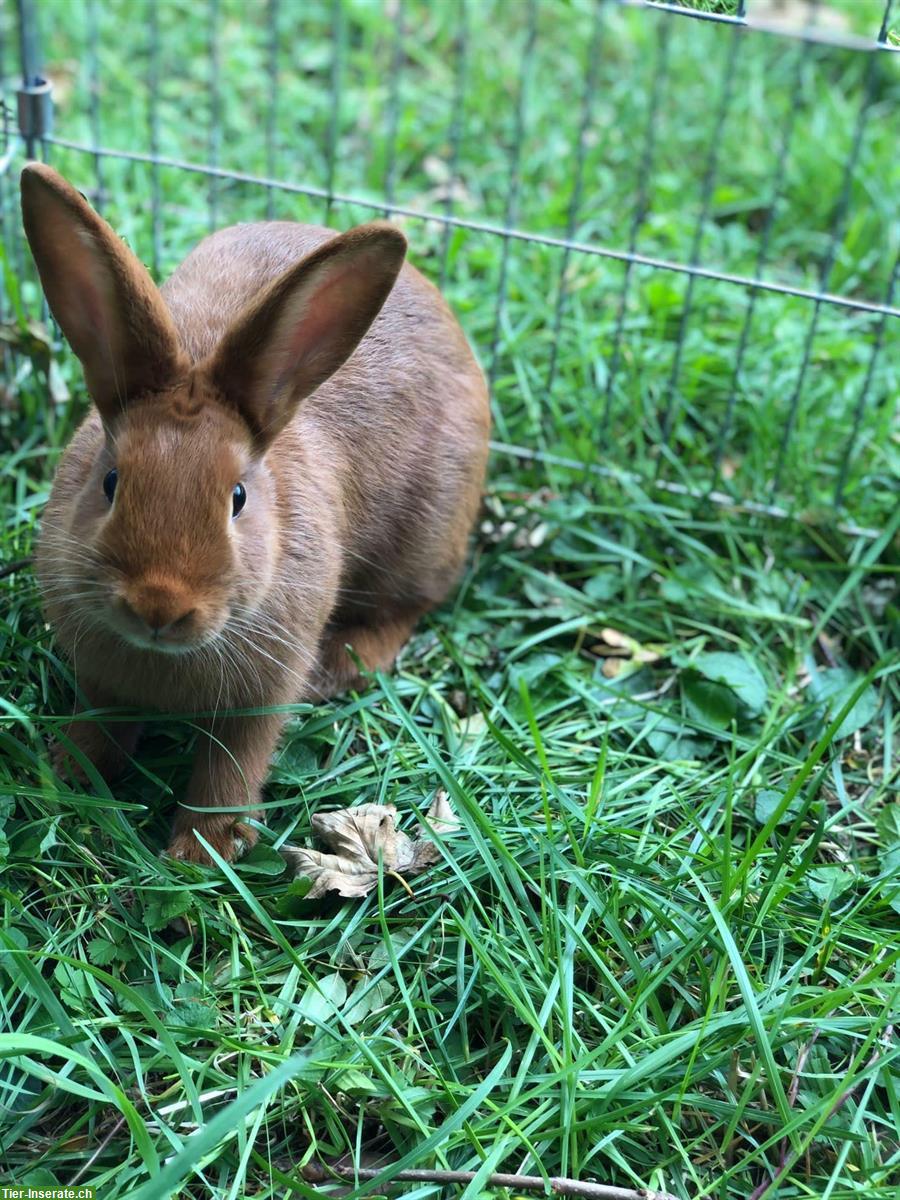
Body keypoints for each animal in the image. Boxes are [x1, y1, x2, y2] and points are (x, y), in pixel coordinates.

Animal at [19, 164, 494, 868]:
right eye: (110, 482)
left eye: (238, 498)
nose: (159, 606)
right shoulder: (100, 675)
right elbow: (101, 726)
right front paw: (69, 776)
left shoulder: (261, 690)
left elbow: (234, 762)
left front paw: (204, 848)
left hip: (424, 538)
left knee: (409, 607)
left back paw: (340, 667)